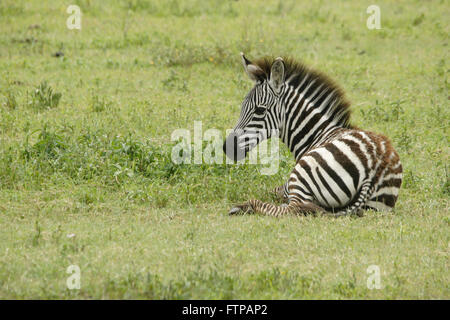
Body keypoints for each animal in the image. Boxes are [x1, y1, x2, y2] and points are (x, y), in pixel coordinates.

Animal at [223, 53, 402, 216]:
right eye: (242, 107)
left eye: (260, 110)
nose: (227, 148)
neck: (317, 133)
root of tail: (374, 170)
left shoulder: (288, 185)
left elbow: (274, 190)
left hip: (302, 174)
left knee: (291, 209)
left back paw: (244, 206)